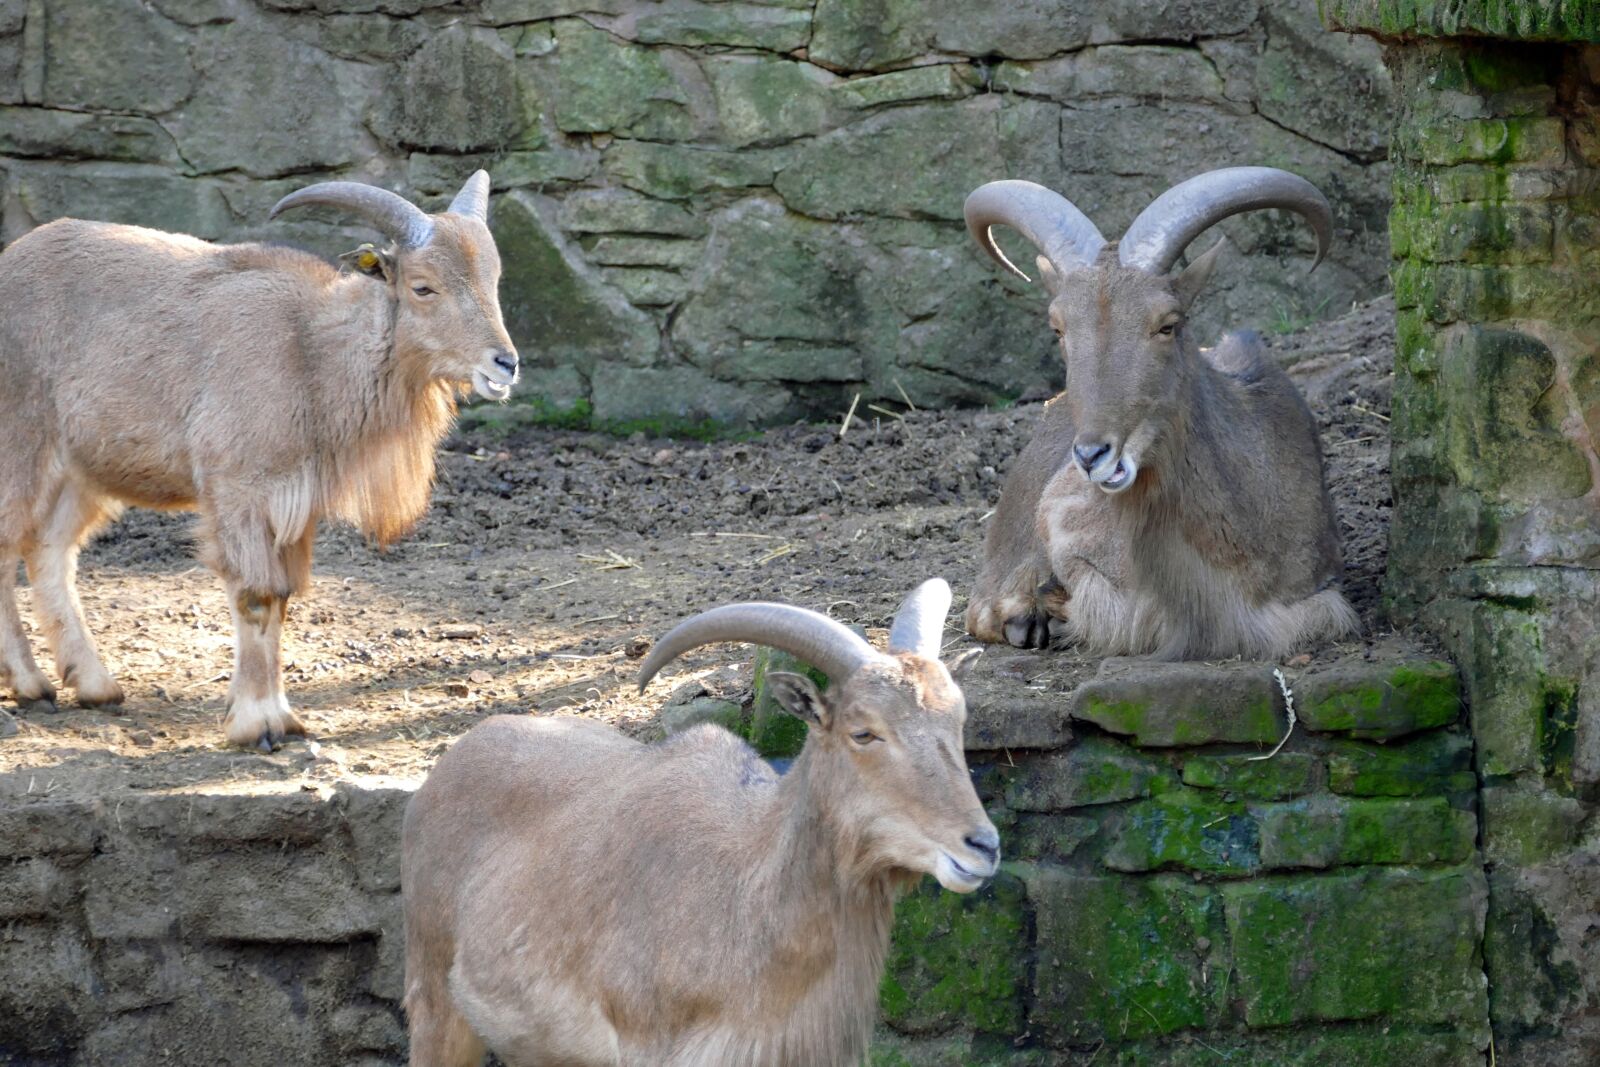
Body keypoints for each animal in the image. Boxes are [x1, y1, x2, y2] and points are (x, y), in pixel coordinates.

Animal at [0, 172, 518, 750]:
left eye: (493, 279)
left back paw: (94, 684)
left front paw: (279, 716)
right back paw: (31, 684)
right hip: (21, 443)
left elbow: (283, 599)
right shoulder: (237, 490)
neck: (310, 350)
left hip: (82, 470)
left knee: (49, 550)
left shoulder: (295, 505)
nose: (505, 364)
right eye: (423, 287)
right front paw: (258, 724)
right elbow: (256, 595)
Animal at [401, 579, 1000, 1067]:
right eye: (864, 732)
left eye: (957, 719)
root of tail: (449, 764)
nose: (983, 846)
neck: (745, 896)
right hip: (435, 1002)